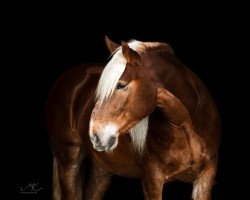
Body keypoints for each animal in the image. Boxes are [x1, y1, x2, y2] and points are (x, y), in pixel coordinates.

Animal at [46, 36, 220, 200]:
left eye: (121, 85)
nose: (95, 136)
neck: (185, 125)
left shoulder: (206, 177)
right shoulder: (152, 177)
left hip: (102, 167)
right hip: (68, 160)